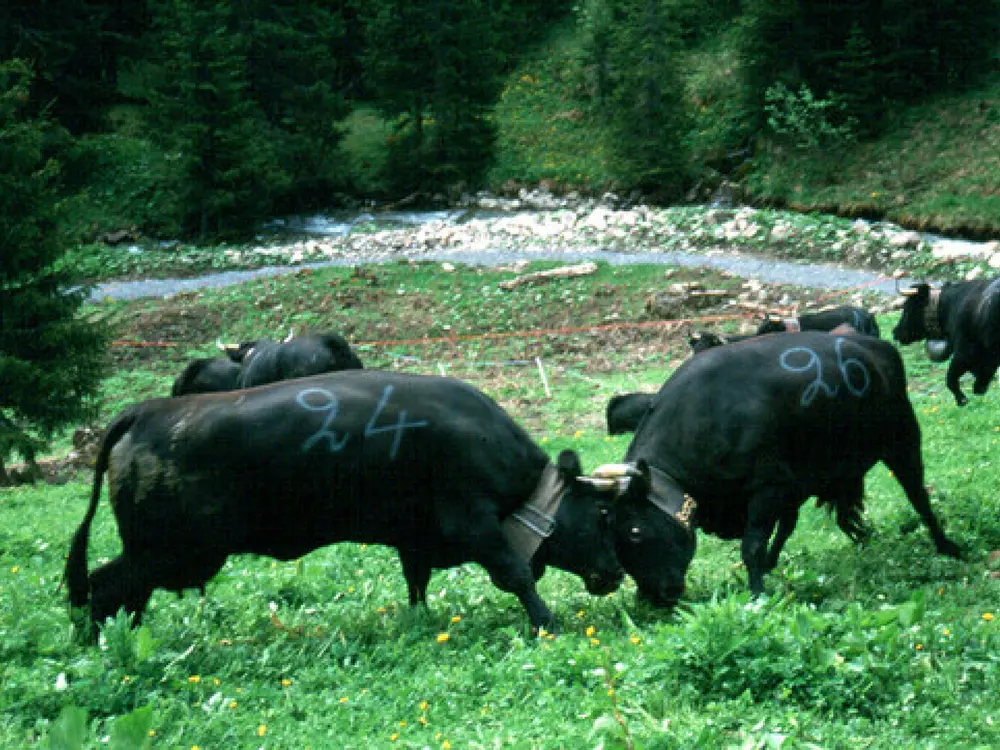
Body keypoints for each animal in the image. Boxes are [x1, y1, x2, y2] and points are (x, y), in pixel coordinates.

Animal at [65, 371, 624, 636]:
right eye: (602, 515)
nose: (617, 573)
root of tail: (145, 411)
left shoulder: (415, 538)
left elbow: (416, 584)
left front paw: (419, 622)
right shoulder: (474, 523)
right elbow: (517, 574)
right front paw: (547, 622)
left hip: (161, 554)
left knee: (118, 593)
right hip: (171, 551)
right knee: (104, 587)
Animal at [594, 332, 961, 607]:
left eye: (635, 531)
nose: (652, 597)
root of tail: (875, 346)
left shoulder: (768, 487)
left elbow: (752, 546)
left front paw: (757, 595)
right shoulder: (787, 485)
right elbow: (778, 531)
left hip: (903, 441)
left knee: (918, 496)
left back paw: (947, 546)